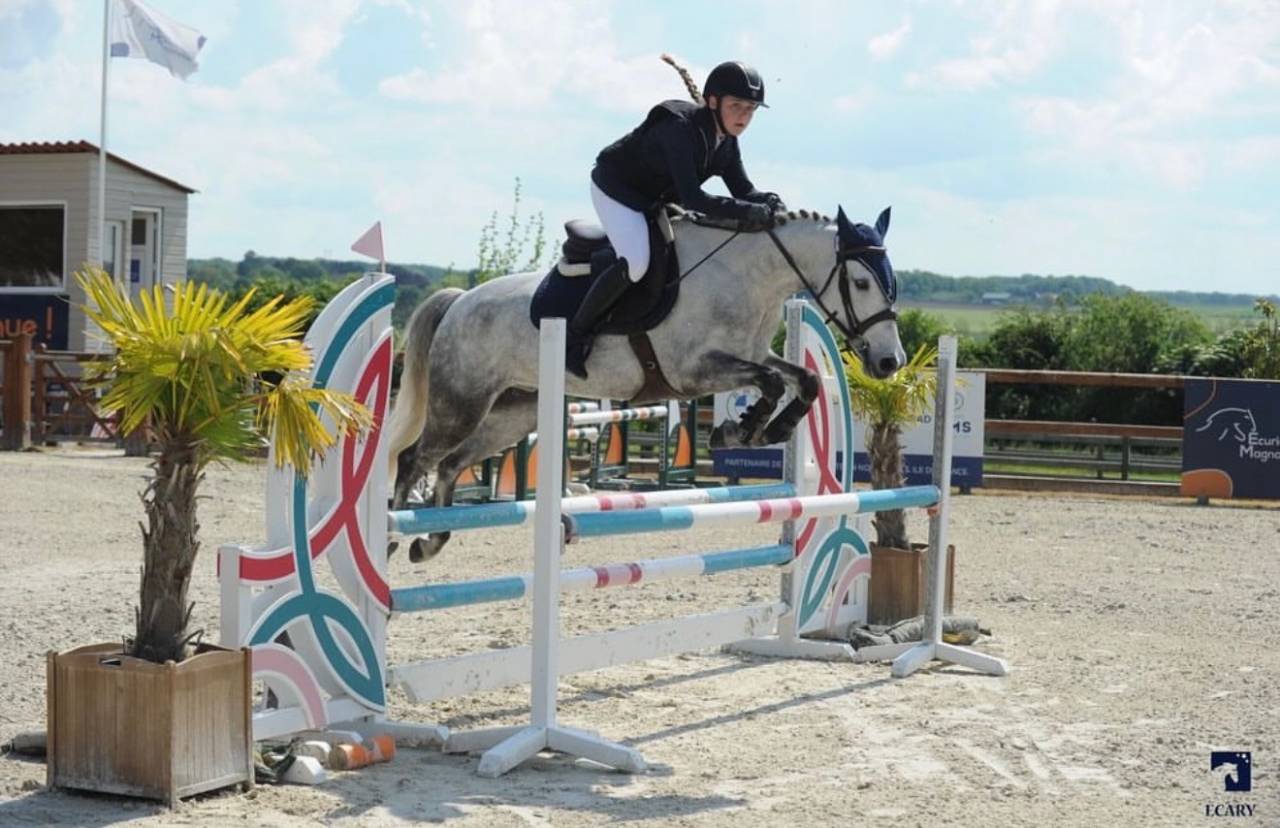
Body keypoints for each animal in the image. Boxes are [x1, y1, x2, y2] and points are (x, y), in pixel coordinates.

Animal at [385, 205, 905, 563]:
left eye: (891, 283)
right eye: (861, 283)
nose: (889, 362)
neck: (745, 278)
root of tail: (459, 301)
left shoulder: (754, 354)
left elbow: (805, 379)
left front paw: (766, 429)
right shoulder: (694, 371)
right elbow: (771, 384)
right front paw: (739, 429)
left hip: (512, 412)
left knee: (449, 465)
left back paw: (429, 542)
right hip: (461, 402)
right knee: (414, 460)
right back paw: (392, 535)